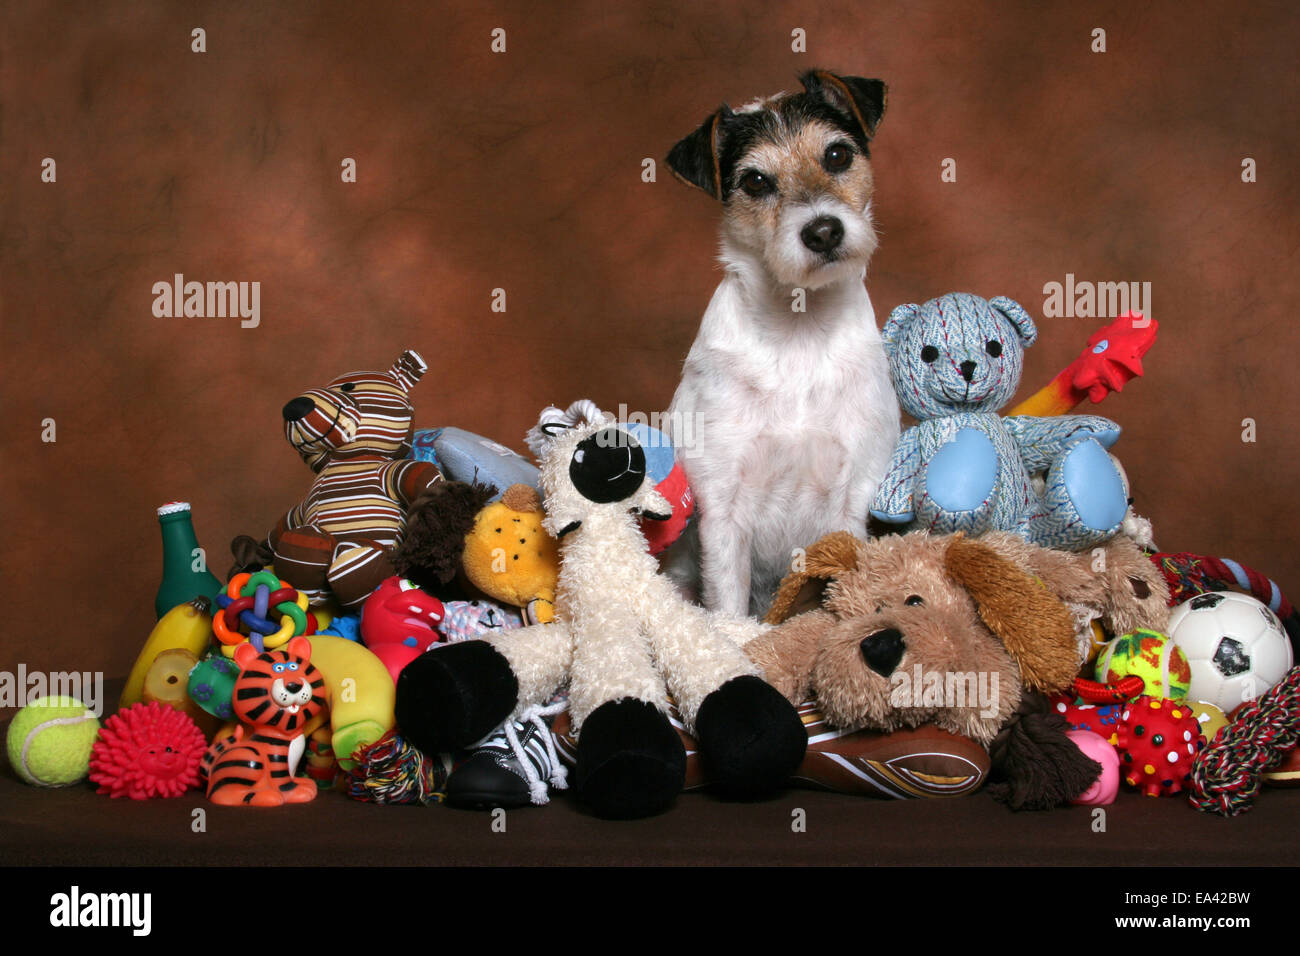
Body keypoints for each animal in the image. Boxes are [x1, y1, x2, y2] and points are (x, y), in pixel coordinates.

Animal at [665, 70, 899, 616]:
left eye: (837, 155)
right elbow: (728, 608)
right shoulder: (723, 508)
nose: (823, 230)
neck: (799, 331)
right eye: (755, 181)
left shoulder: (855, 494)